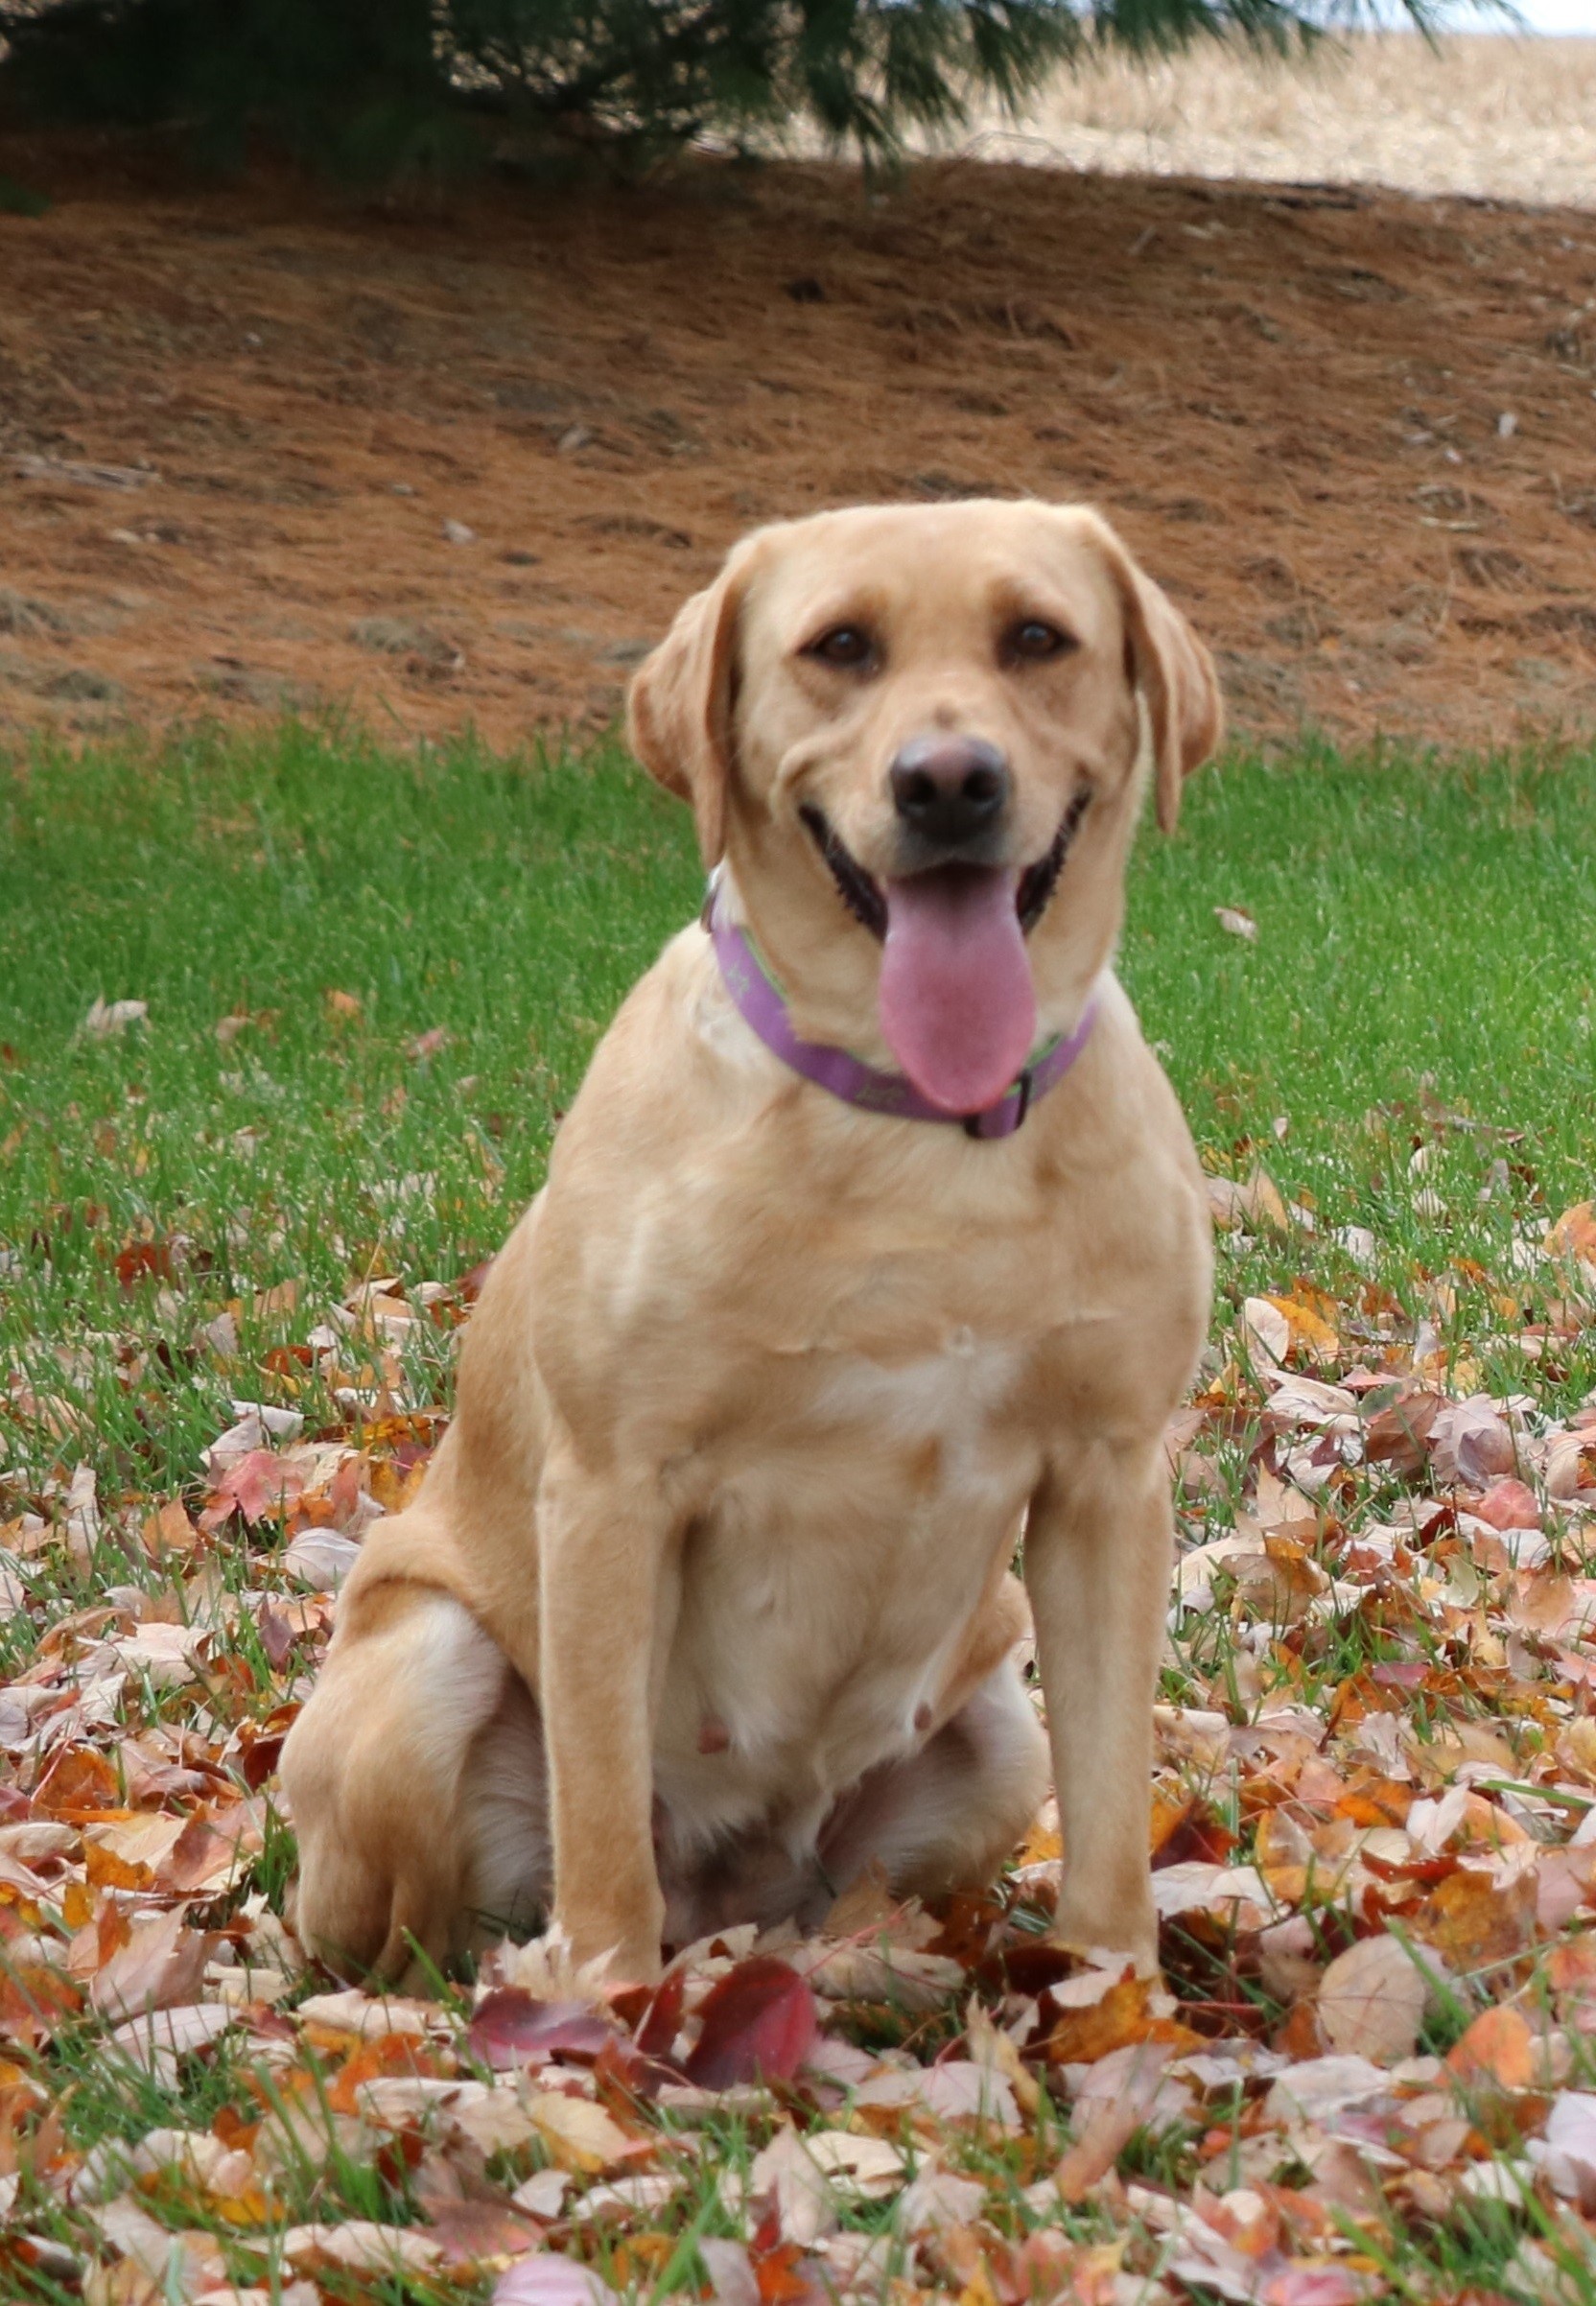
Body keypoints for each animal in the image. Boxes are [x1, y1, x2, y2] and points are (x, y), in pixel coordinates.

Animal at [277, 495, 1217, 1992]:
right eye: (839, 647)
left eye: (1035, 639)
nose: (947, 783)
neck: (914, 1130)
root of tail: (729, 1894)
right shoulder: (614, 1488)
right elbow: (603, 1812)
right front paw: (605, 2012)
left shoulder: (1107, 1479)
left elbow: (1116, 1802)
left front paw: (1116, 1997)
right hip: (425, 1670)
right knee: (427, 1931)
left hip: (993, 1729)